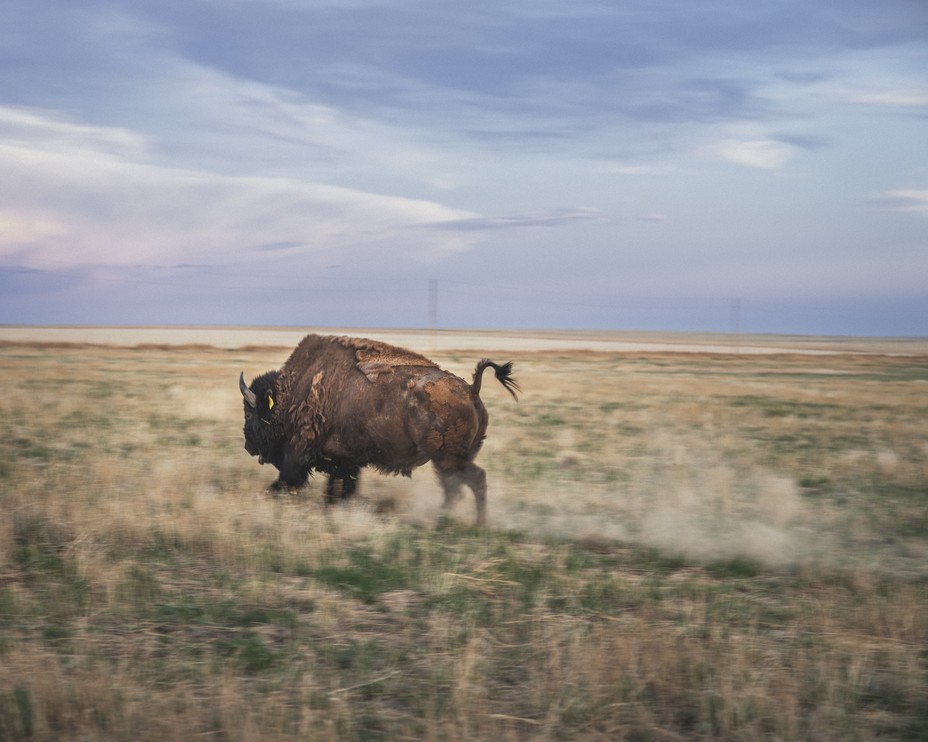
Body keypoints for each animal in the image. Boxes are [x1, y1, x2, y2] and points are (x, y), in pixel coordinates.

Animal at [239, 334, 520, 528]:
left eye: (251, 413)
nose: (247, 446)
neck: (295, 390)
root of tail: (471, 389)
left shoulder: (299, 456)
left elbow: (285, 480)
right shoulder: (345, 461)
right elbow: (340, 489)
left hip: (447, 460)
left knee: (469, 482)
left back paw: (458, 521)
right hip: (452, 460)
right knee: (460, 486)